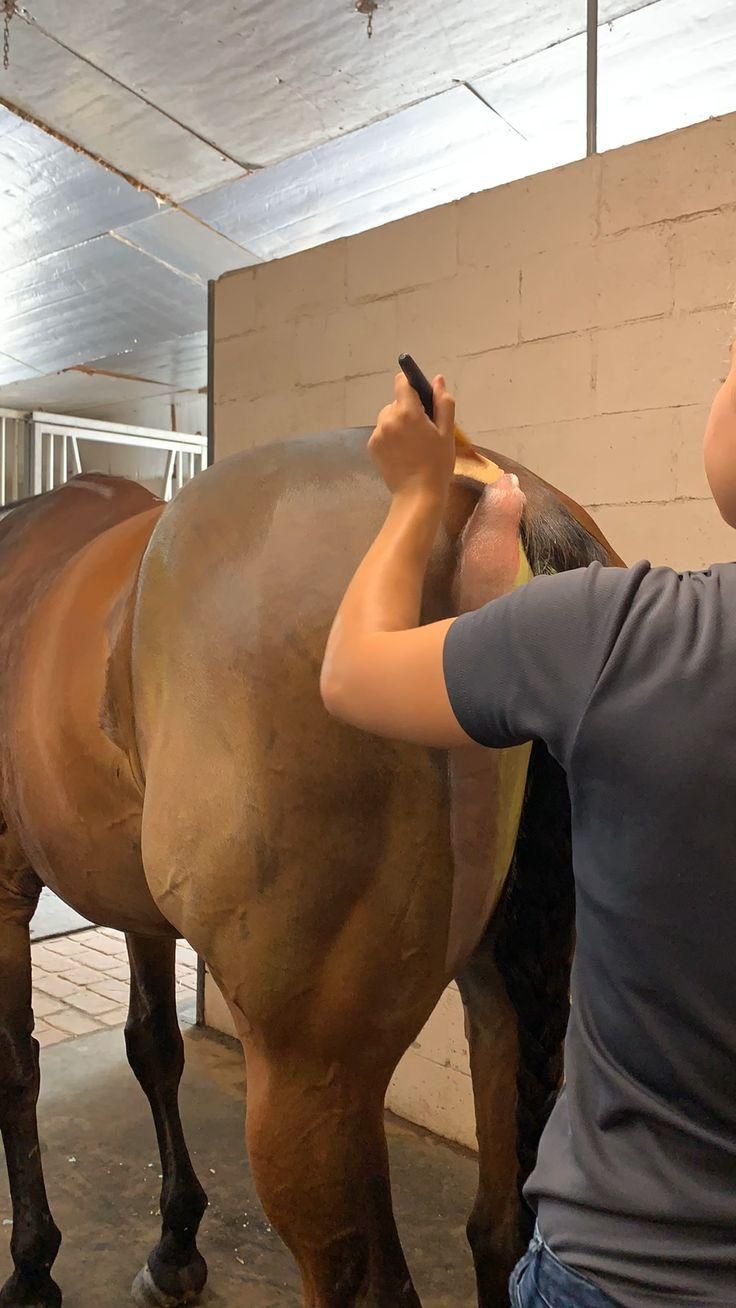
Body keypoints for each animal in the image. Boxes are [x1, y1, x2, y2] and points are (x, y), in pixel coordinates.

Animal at [0, 429, 622, 1308]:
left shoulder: (4, 888)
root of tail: (507, 492)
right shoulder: (143, 914)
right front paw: (175, 1246)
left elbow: (16, 1067)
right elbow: (155, 1047)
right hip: (498, 1005)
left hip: (311, 1083)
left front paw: (32, 1265)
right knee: (497, 1231)